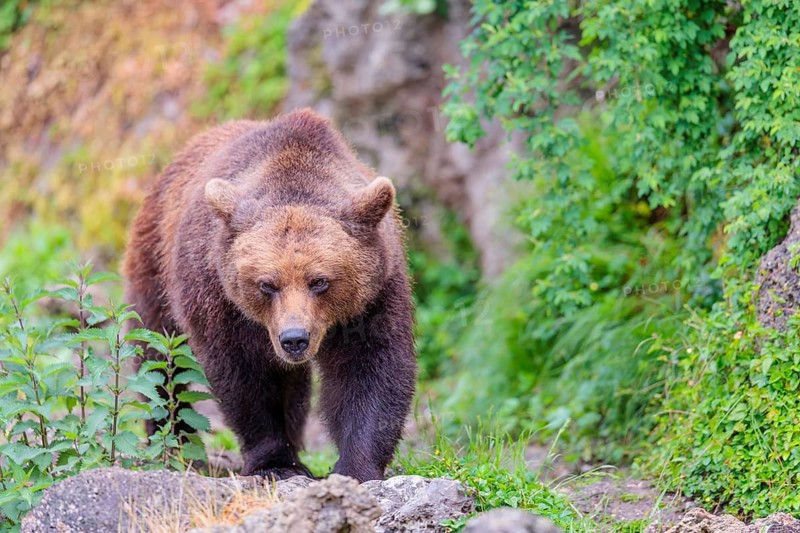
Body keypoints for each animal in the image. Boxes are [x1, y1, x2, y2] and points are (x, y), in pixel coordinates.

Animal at [122, 109, 416, 482]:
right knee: (160, 360)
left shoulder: (374, 293)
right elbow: (244, 376)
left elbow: (371, 367)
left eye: (319, 281)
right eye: (267, 284)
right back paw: (174, 444)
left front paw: (356, 466)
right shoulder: (219, 295)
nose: (294, 339)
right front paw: (275, 463)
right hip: (154, 267)